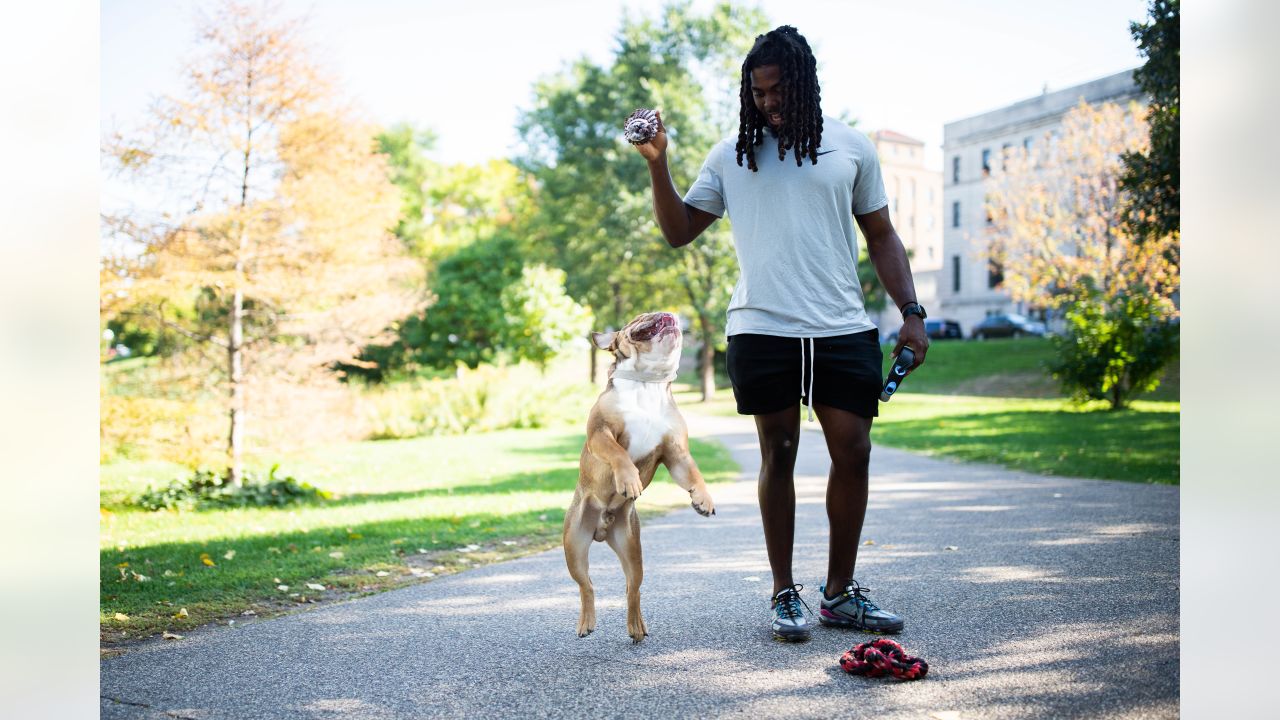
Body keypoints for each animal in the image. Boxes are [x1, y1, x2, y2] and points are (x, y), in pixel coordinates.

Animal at [563, 308, 716, 638]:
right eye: (640, 316)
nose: (666, 311)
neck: (648, 383)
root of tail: (602, 529)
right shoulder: (600, 433)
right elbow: (619, 454)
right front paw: (629, 479)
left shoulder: (675, 453)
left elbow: (694, 474)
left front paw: (703, 498)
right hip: (574, 546)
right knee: (586, 585)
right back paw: (587, 622)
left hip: (632, 549)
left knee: (633, 588)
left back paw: (636, 626)